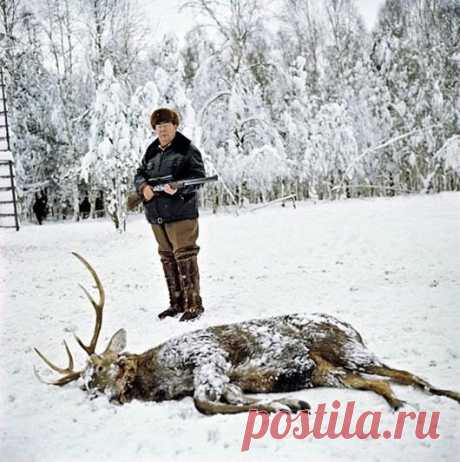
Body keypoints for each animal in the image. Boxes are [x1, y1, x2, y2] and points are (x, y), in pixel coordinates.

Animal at [35, 253, 460, 416]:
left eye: (98, 367)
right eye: (83, 380)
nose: (90, 389)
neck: (156, 377)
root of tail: (353, 327)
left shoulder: (208, 356)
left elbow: (204, 403)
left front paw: (281, 407)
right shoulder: (225, 377)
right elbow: (233, 396)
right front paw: (287, 403)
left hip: (347, 349)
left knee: (405, 373)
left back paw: (436, 396)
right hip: (331, 371)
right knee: (381, 382)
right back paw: (402, 403)